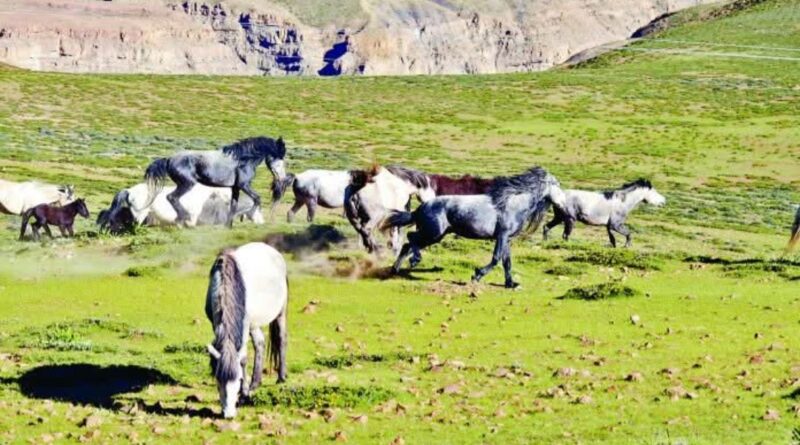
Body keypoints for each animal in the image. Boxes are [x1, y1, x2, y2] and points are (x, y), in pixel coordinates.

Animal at [144, 136, 287, 227]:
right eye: (279, 159)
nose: (282, 178)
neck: (243, 160)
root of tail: (169, 159)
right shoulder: (244, 185)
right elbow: (257, 198)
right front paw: (250, 215)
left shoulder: (235, 187)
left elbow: (233, 205)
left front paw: (228, 226)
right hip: (187, 184)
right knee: (172, 197)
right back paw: (183, 219)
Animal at [205, 242, 288, 419]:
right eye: (218, 383)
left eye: (237, 381)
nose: (229, 415)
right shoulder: (216, 324)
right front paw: (247, 389)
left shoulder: (244, 324)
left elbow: (242, 359)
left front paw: (244, 394)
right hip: (254, 324)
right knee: (260, 343)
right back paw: (256, 382)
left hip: (280, 312)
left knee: (281, 338)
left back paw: (281, 377)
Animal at [382, 167, 565, 289]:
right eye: (556, 185)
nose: (563, 204)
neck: (511, 204)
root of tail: (421, 207)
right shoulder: (502, 235)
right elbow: (496, 258)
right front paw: (477, 275)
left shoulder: (507, 239)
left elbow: (507, 261)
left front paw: (511, 283)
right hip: (433, 233)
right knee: (411, 239)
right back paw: (413, 260)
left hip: (435, 234)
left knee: (407, 244)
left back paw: (395, 269)